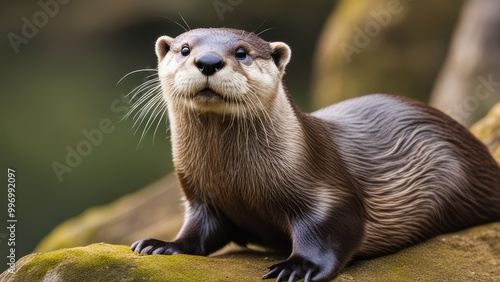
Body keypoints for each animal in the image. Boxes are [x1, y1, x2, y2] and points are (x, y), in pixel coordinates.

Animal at [131, 27, 500, 280]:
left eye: (241, 52)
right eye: (184, 49)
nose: (208, 61)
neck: (237, 183)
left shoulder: (328, 191)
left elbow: (333, 227)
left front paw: (298, 266)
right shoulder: (201, 196)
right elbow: (198, 231)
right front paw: (162, 245)